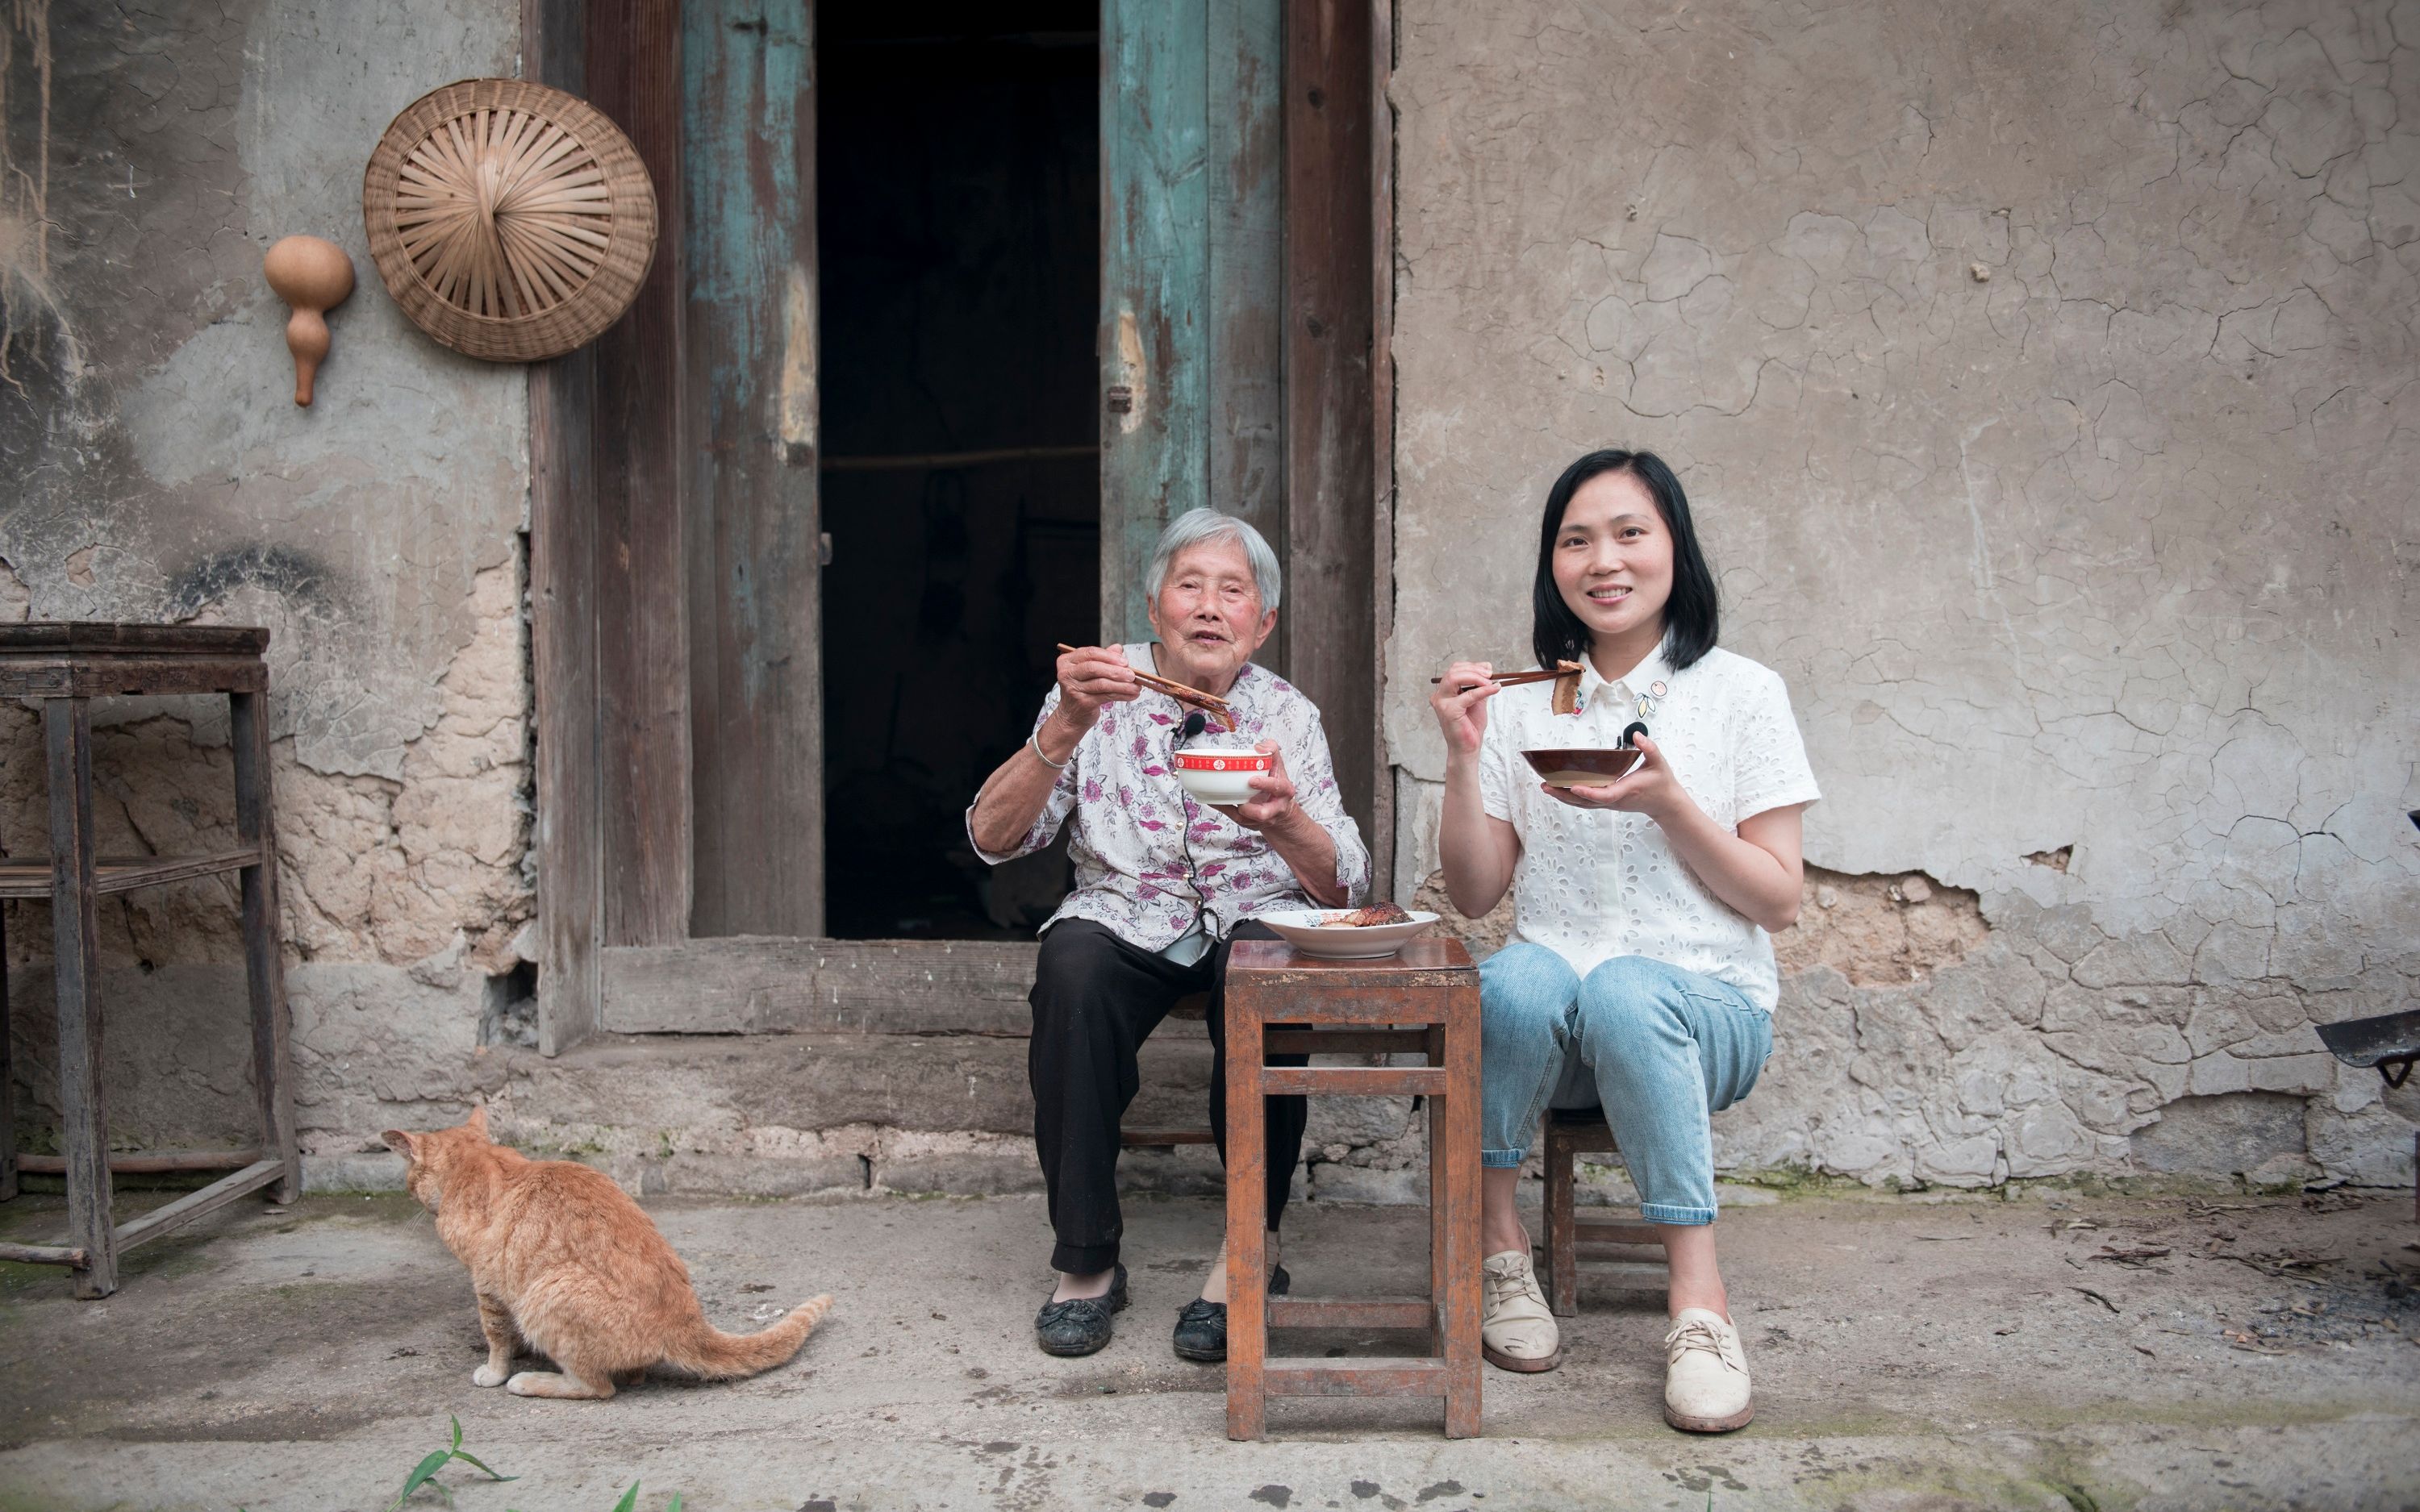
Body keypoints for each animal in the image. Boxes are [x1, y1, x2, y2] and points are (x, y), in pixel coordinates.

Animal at [378, 1103, 832, 1393]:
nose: (408, 1191)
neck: (479, 1159)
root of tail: (687, 1323)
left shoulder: (487, 1284)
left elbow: (496, 1337)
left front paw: (496, 1371)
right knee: (628, 1376)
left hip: (547, 1292)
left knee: (598, 1387)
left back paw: (535, 1382)